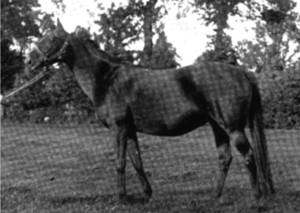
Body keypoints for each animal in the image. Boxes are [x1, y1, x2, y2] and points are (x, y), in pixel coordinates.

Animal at [25, 19, 274, 201]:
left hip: (233, 127)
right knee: (225, 158)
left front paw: (122, 198)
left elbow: (120, 162)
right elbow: (136, 161)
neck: (106, 80)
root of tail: (243, 73)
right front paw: (147, 194)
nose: (30, 63)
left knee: (248, 156)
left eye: (52, 38)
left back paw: (256, 197)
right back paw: (215, 196)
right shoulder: (130, 130)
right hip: (217, 126)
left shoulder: (119, 129)